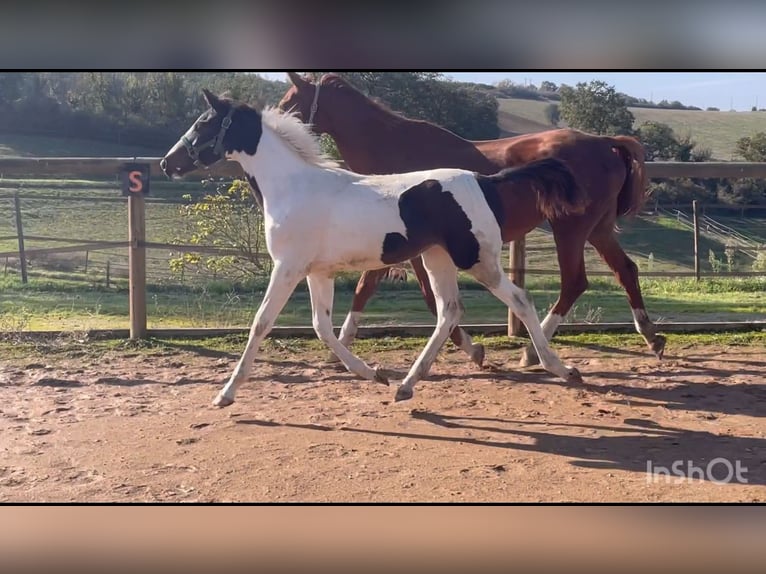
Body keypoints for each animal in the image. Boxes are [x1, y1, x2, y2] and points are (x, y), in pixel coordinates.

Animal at [280, 73, 664, 368]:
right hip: (598, 229)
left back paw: (531, 352)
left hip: (570, 228)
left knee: (574, 282)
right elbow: (367, 288)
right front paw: (340, 350)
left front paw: (472, 349)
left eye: (288, 103)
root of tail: (606, 142)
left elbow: (421, 295)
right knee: (625, 270)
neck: (394, 150)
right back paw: (651, 337)